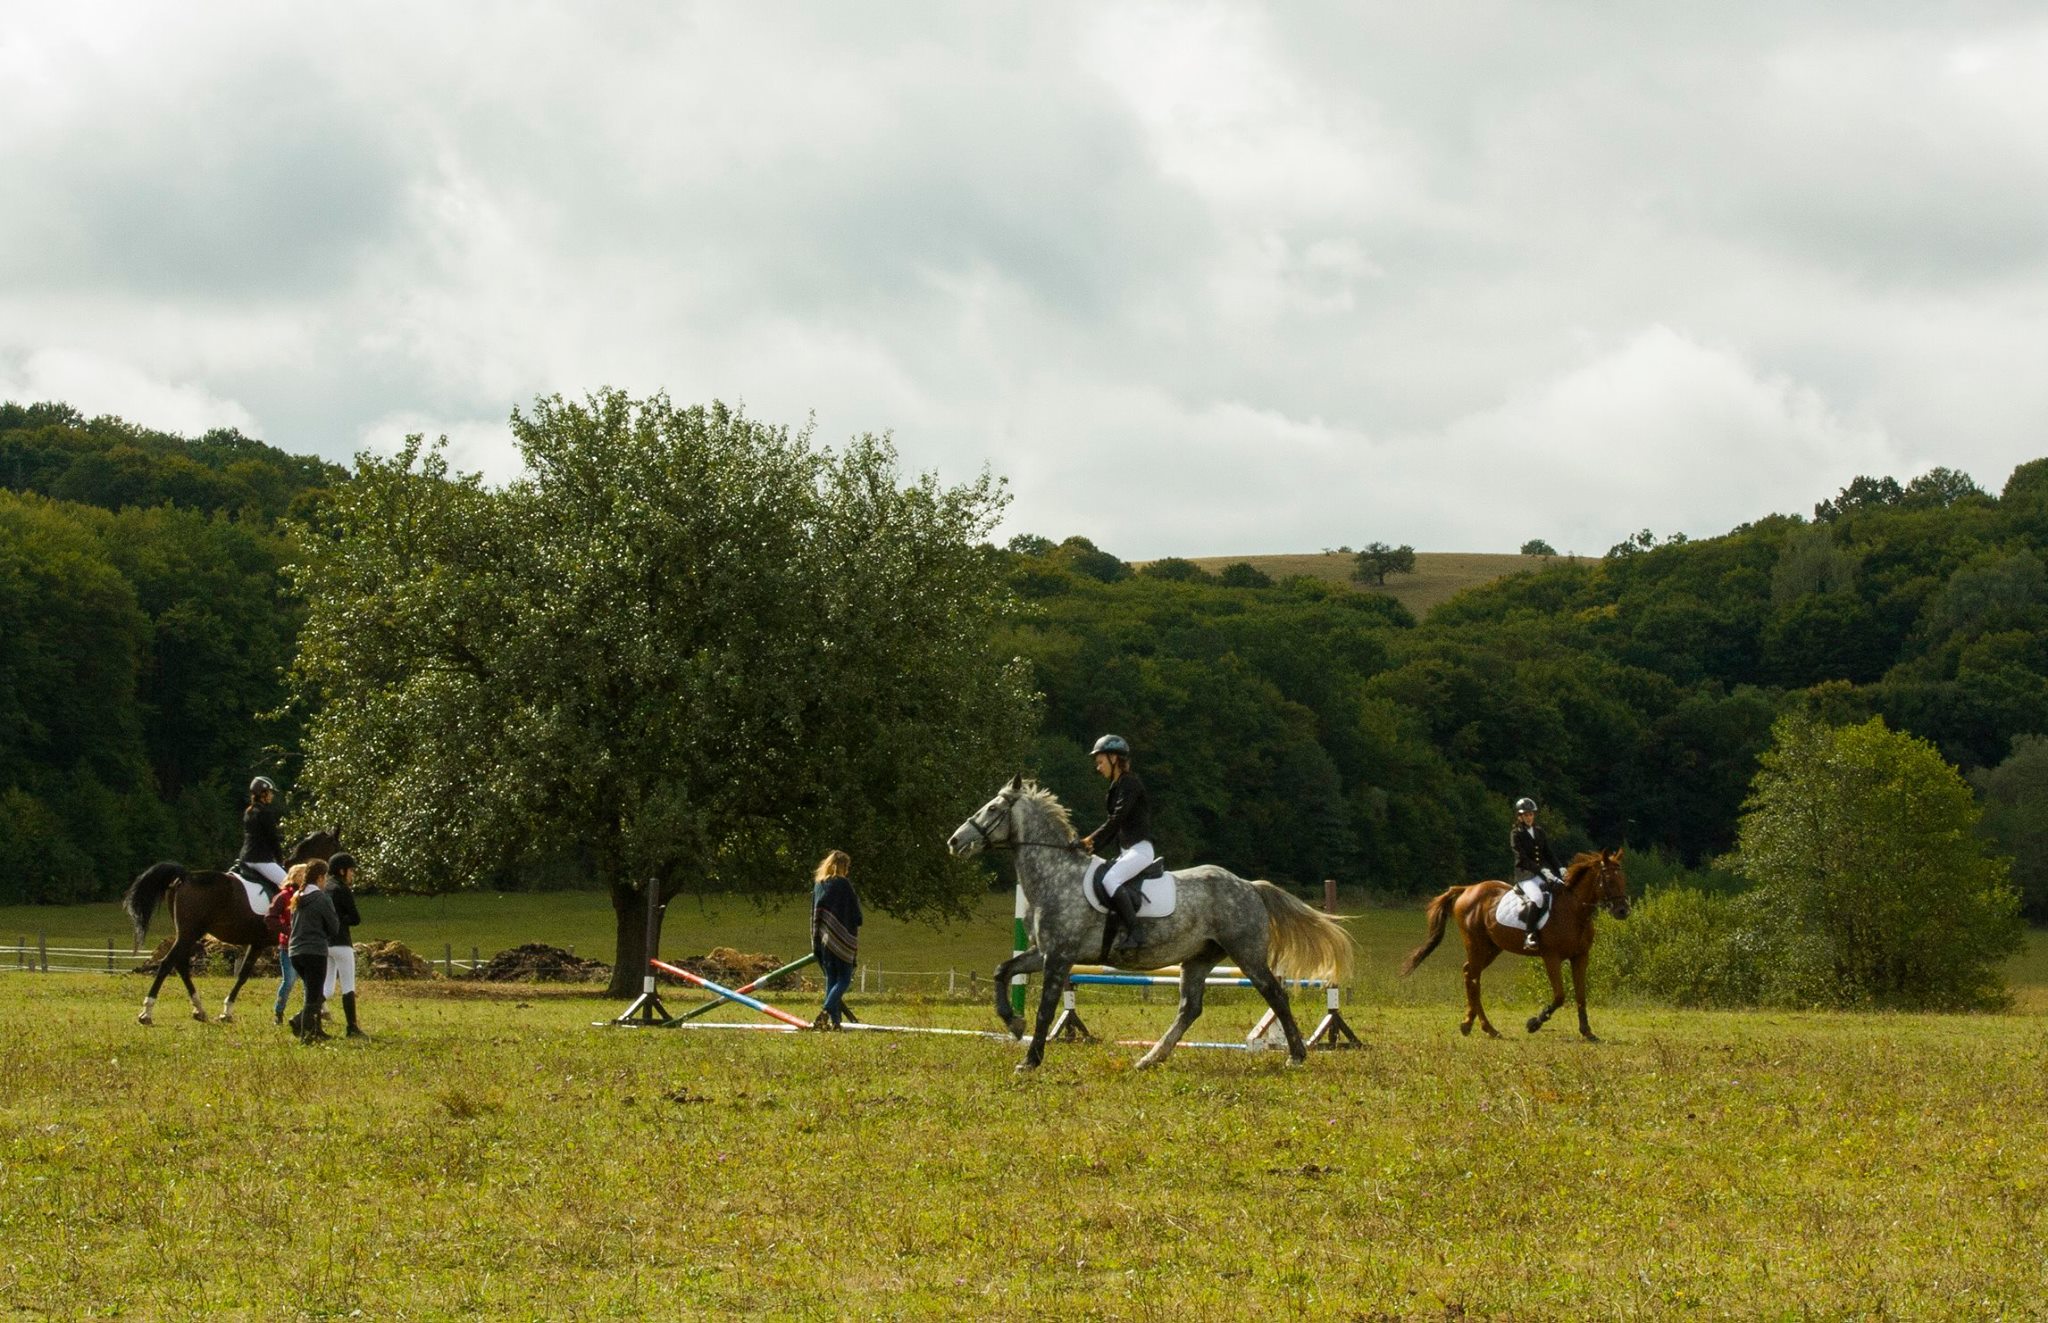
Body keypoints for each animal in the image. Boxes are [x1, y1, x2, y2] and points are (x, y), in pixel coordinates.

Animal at [124, 835, 344, 1032]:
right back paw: (147, 1013)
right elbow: (299, 978)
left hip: (189, 934)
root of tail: (185, 876)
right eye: (336, 848)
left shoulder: (259, 943)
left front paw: (226, 1012)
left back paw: (199, 1010)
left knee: (181, 965)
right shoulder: (268, 943)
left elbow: (248, 974)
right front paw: (323, 1011)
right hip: (190, 933)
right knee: (167, 964)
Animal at [946, 782, 1359, 1073]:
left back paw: (1297, 1055)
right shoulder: (1044, 953)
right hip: (1198, 959)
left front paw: (1029, 1060)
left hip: (1247, 954)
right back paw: (1151, 1058)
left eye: (993, 808)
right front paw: (1014, 1024)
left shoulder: (1059, 957)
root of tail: (1248, 886)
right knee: (1190, 1008)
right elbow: (1002, 970)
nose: (954, 841)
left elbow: (1046, 1009)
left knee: (1275, 994)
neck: (1055, 875)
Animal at [1392, 851, 1630, 1048]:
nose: (1623, 911)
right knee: (1473, 978)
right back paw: (1476, 1026)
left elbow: (1581, 994)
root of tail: (1467, 889)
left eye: (1623, 879)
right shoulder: (1551, 957)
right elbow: (1560, 995)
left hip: (1492, 948)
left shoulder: (1580, 957)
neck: (1573, 911)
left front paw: (1588, 1032)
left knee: (1470, 973)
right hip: (1476, 944)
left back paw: (1481, 1027)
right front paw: (1534, 1023)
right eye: (1609, 880)